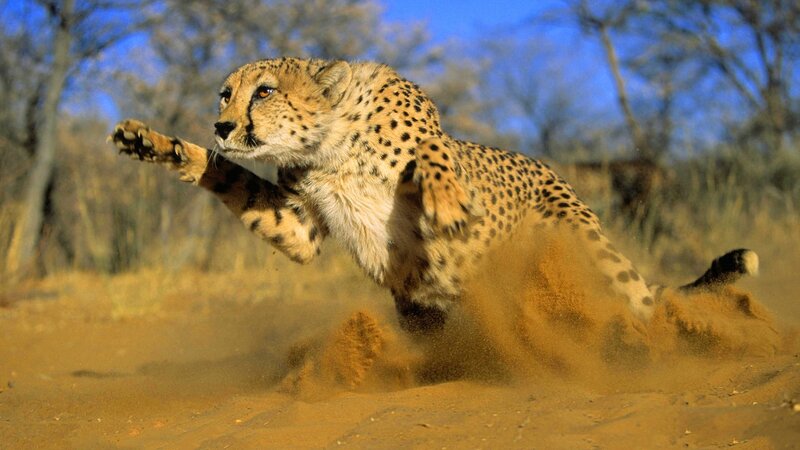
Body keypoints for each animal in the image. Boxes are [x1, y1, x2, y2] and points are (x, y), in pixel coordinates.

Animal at [109, 57, 759, 335]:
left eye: (264, 92)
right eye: (225, 94)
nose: (221, 125)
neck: (330, 146)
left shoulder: (429, 129)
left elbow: (433, 154)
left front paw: (444, 203)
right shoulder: (299, 225)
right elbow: (229, 178)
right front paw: (157, 144)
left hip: (582, 242)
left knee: (639, 303)